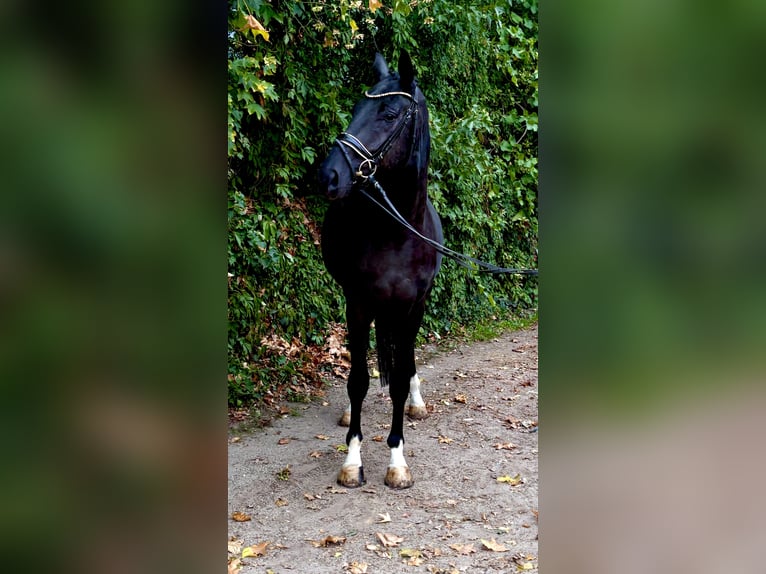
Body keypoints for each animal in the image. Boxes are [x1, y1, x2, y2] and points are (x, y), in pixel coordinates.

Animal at [317, 51, 443, 489]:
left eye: (388, 114)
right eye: (356, 108)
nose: (329, 175)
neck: (397, 232)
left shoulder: (411, 306)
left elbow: (400, 378)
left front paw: (397, 460)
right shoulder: (357, 303)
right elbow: (357, 380)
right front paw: (353, 460)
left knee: (406, 360)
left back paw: (418, 400)